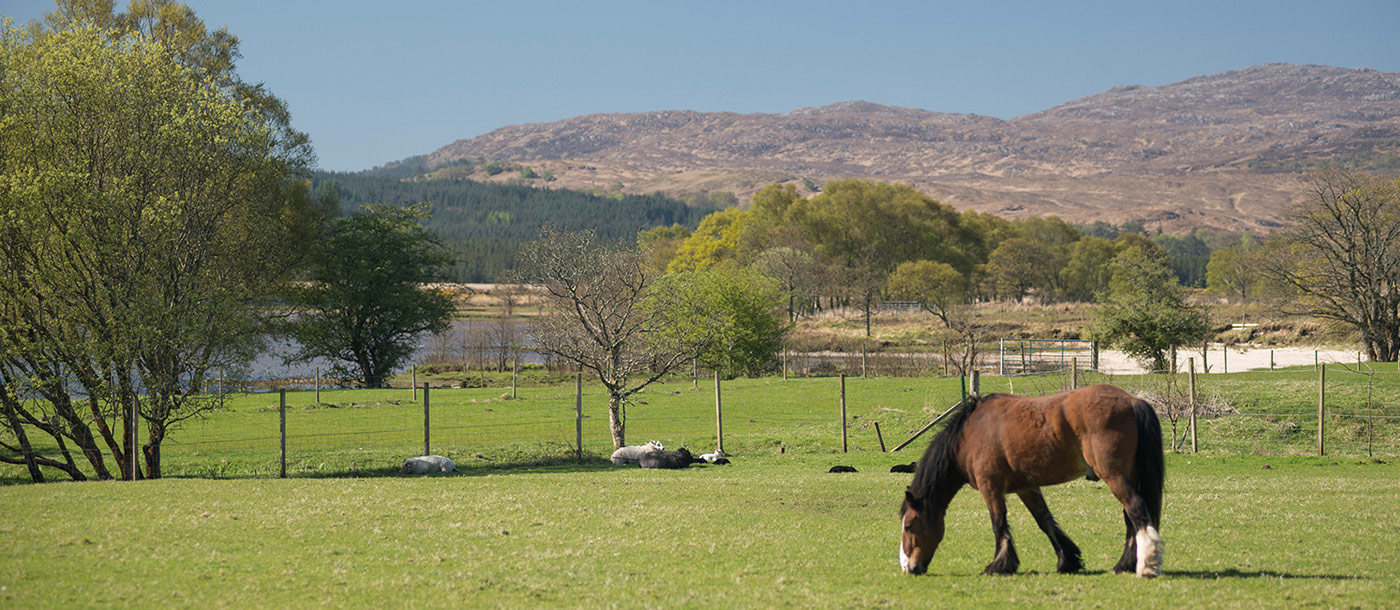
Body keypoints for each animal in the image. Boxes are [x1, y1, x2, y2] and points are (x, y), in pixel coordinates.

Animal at [901, 383, 1164, 579]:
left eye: (908, 526)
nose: (909, 568)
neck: (971, 432)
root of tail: (1132, 401)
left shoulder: (991, 487)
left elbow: (998, 523)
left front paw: (999, 565)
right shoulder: (1027, 488)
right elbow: (1044, 521)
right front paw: (1067, 560)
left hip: (1114, 475)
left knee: (1135, 508)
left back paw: (1145, 565)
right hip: (1127, 476)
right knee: (1130, 518)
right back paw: (1125, 564)